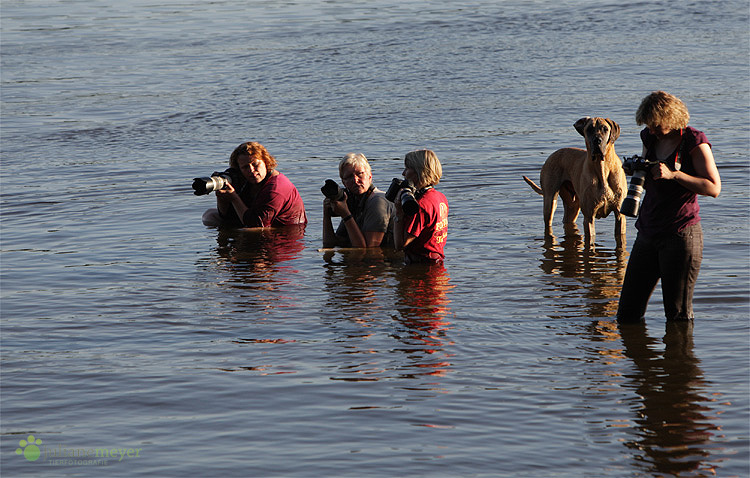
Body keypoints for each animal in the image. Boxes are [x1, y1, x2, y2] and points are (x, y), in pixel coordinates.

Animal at [524, 116, 628, 246]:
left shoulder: (620, 216)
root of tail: (552, 154)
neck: (602, 169)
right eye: (589, 129)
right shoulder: (589, 217)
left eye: (605, 129)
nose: (597, 141)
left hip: (573, 205)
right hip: (550, 201)